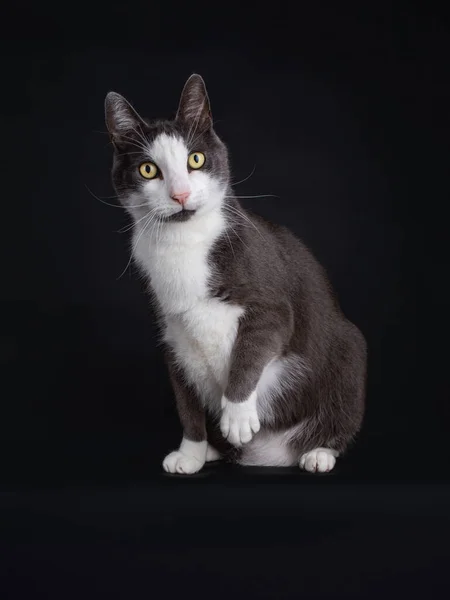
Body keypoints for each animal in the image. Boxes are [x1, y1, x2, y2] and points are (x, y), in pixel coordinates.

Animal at [104, 72, 366, 474]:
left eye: (195, 159)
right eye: (148, 169)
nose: (180, 195)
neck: (184, 243)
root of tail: (273, 453)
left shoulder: (270, 300)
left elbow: (254, 345)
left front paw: (238, 415)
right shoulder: (172, 336)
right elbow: (186, 401)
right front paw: (191, 453)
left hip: (349, 353)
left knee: (342, 409)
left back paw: (318, 452)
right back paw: (215, 450)